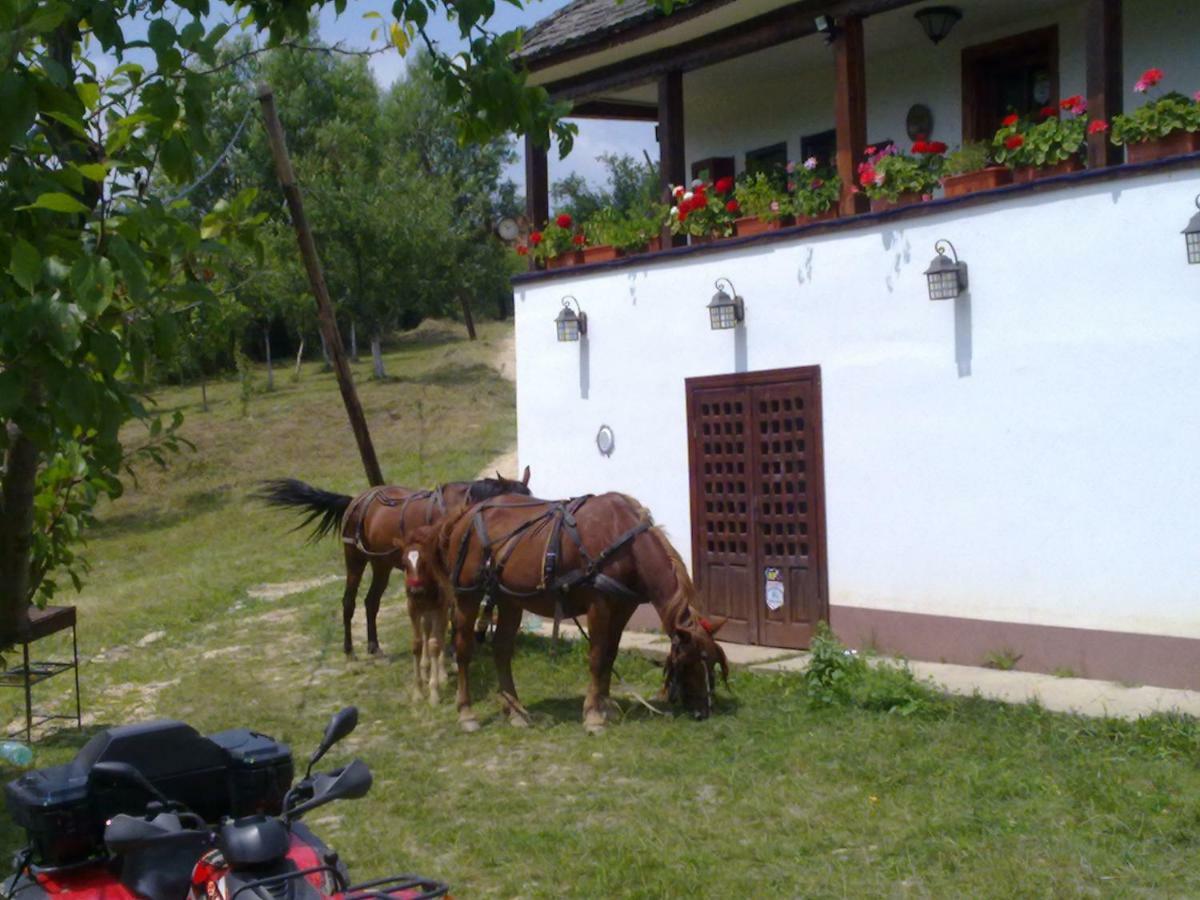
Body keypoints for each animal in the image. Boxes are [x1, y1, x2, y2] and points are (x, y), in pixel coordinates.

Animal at [256, 472, 530, 657]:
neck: (459, 512)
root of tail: (355, 500)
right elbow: (455, 608)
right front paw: (455, 646)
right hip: (355, 560)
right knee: (349, 602)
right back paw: (349, 649)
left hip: (382, 565)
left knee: (371, 602)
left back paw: (373, 645)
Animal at [410, 494, 729, 734]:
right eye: (688, 661)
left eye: (712, 662)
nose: (705, 711)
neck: (623, 541)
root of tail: (463, 515)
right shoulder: (600, 605)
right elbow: (597, 657)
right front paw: (593, 715)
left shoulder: (623, 607)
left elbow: (610, 653)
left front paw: (606, 705)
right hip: (468, 596)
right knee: (464, 650)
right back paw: (467, 713)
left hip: (510, 600)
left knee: (502, 651)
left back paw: (515, 710)